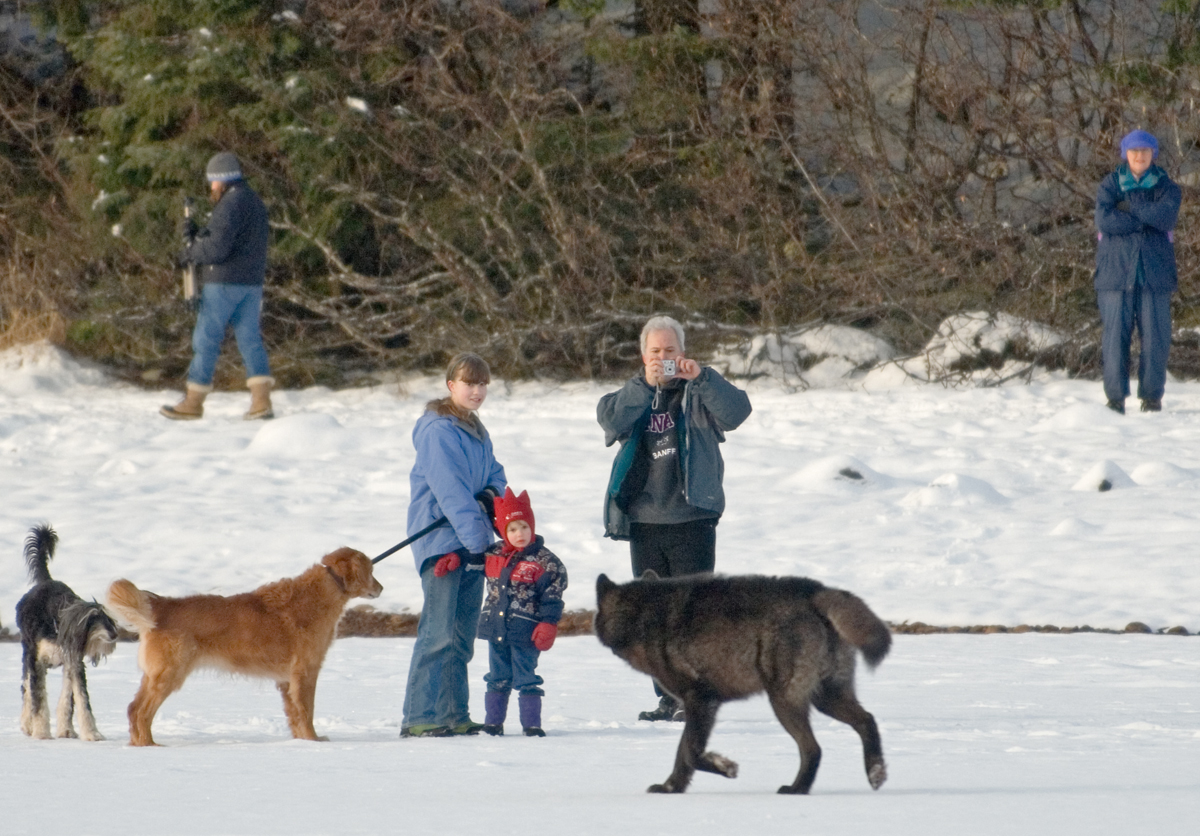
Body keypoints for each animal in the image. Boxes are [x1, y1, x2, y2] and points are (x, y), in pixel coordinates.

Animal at [594, 571, 891, 794]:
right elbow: (683, 754)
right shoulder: (699, 704)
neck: (645, 617)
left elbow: (691, 752)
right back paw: (874, 773)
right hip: (826, 698)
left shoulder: (700, 700)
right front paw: (671, 788)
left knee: (813, 749)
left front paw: (725, 767)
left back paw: (796, 789)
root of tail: (816, 591)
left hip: (784, 702)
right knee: (867, 721)